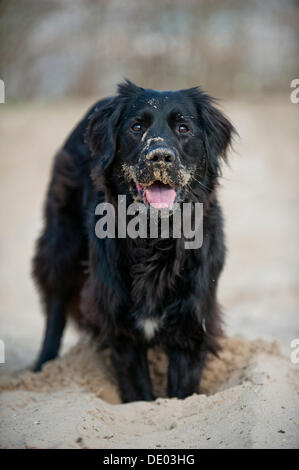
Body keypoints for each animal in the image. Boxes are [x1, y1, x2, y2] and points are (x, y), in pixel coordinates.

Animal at [31, 80, 236, 400]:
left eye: (184, 128)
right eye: (136, 127)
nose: (160, 156)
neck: (154, 236)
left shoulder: (191, 326)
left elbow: (182, 391)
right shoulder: (121, 328)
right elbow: (138, 390)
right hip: (62, 242)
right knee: (56, 303)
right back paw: (43, 365)